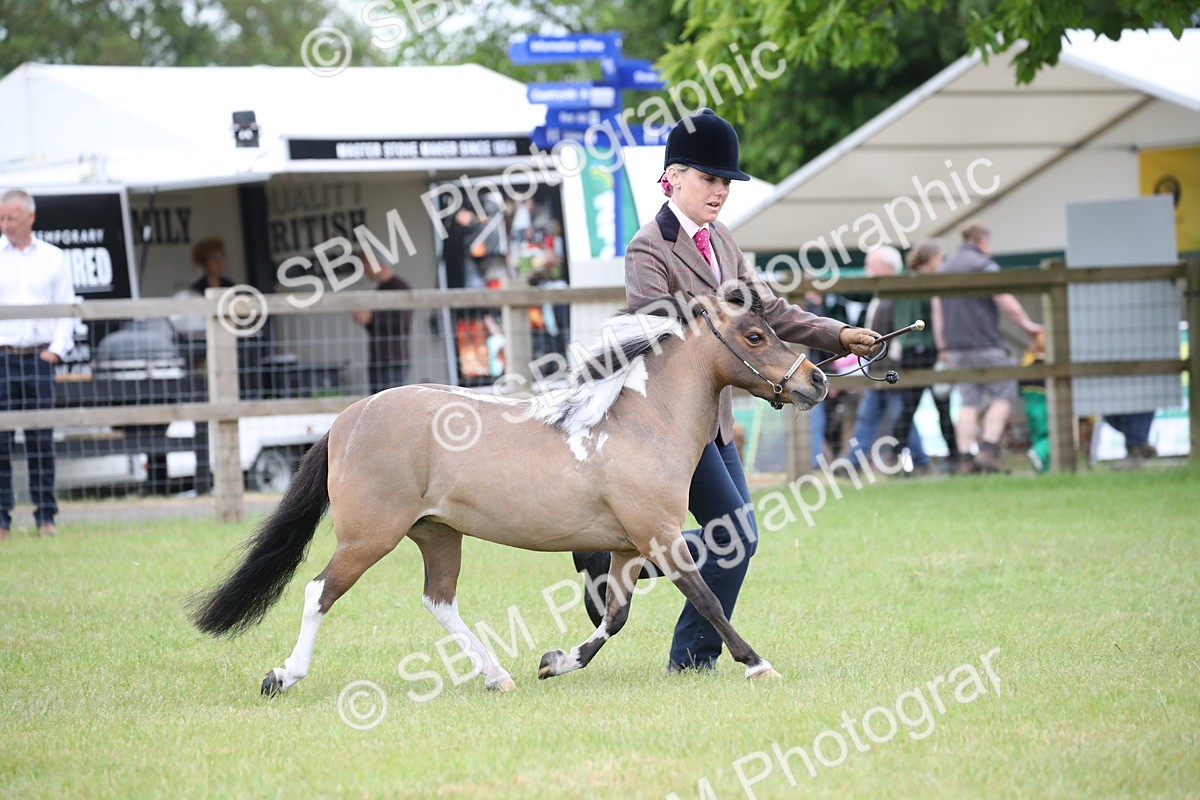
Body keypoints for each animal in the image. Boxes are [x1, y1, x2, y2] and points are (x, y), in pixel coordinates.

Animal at [188, 289, 829, 695]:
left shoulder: (629, 547)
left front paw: (555, 662)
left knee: (439, 600)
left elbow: (615, 617)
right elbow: (708, 600)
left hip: (436, 533)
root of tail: (349, 417)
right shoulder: (660, 537)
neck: (640, 423)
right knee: (319, 592)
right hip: (369, 537)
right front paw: (758, 665)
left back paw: (498, 676)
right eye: (755, 335)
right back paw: (283, 676)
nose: (816, 380)